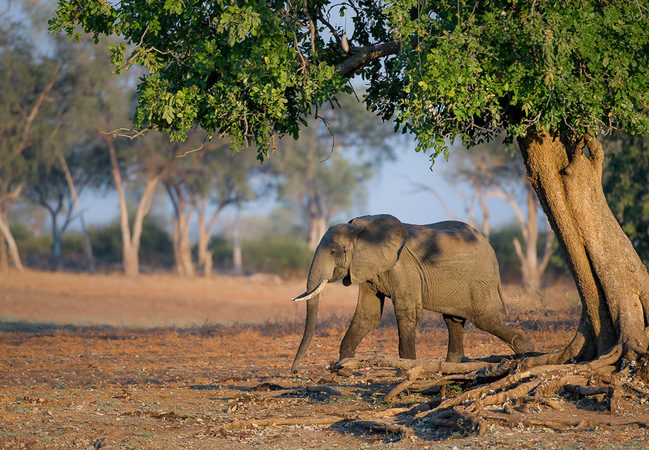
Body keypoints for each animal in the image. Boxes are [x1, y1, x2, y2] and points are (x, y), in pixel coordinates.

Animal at [292, 214, 536, 372]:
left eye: (334, 251)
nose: (295, 371)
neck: (361, 229)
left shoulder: (402, 267)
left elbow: (407, 311)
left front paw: (405, 370)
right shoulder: (367, 268)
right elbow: (367, 315)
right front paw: (344, 368)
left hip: (480, 280)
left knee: (485, 319)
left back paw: (528, 352)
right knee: (453, 320)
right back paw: (449, 367)